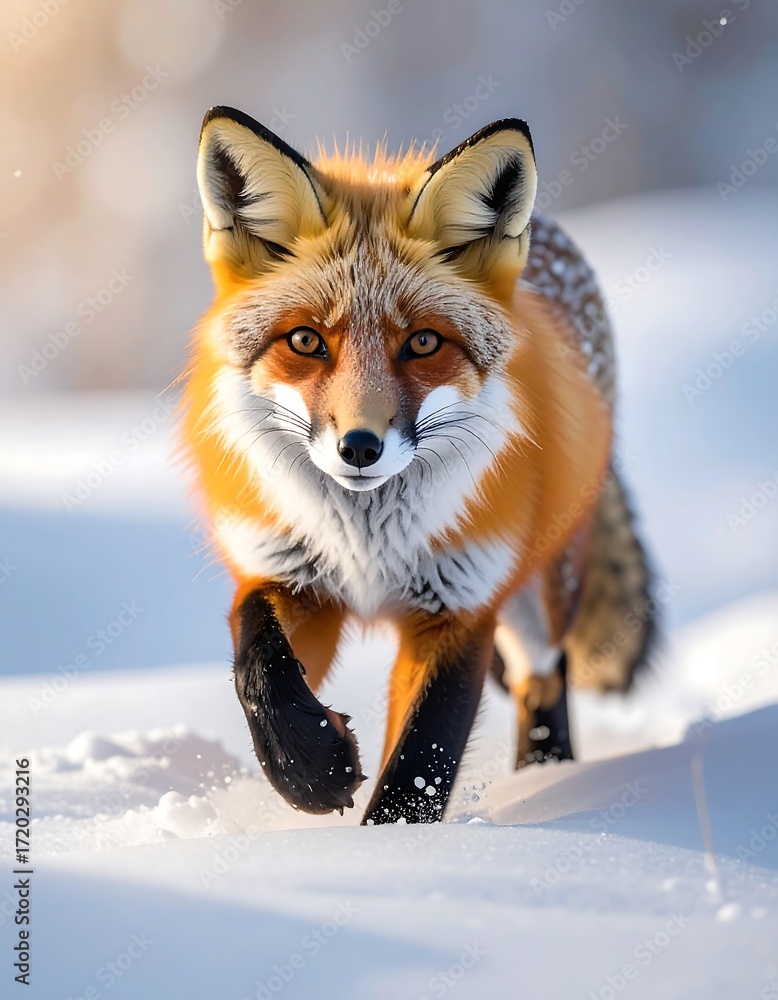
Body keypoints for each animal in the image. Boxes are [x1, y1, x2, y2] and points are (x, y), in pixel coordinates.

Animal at [181, 106, 654, 825]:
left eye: (424, 342)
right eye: (306, 341)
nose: (359, 447)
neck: (366, 544)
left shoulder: (459, 606)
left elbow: (420, 764)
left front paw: (398, 846)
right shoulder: (291, 576)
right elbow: (256, 656)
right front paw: (308, 770)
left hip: (539, 594)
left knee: (544, 677)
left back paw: (546, 777)